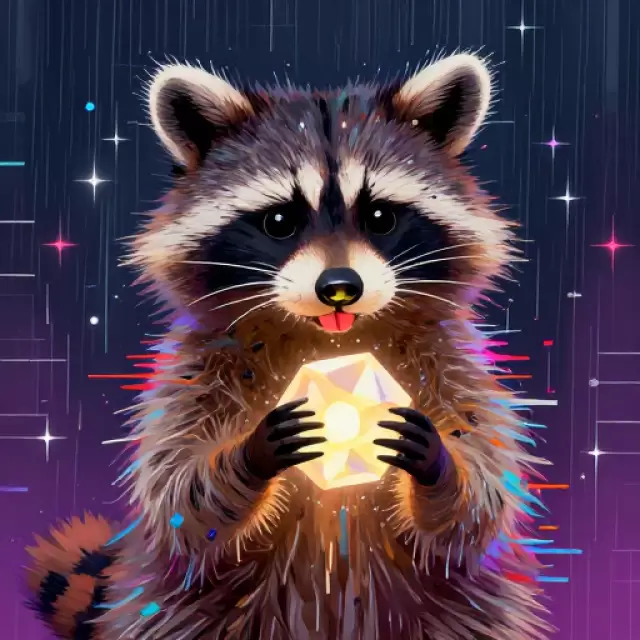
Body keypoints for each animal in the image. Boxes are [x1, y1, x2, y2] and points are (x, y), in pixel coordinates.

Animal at [26, 53, 551, 640]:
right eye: (279, 221)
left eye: (381, 217)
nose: (340, 287)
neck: (331, 341)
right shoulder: (193, 370)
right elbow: (179, 494)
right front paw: (247, 455)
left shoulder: (452, 359)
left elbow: (482, 495)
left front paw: (440, 465)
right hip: (180, 611)